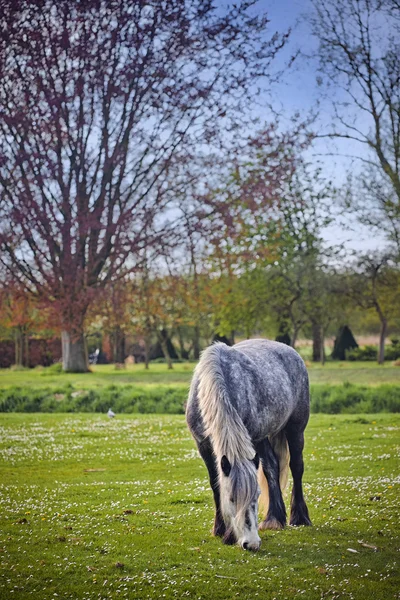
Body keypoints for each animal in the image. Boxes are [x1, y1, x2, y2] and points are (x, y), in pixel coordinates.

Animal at [186, 340, 310, 552]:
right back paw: (274, 518)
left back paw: (299, 517)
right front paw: (220, 529)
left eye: (256, 496)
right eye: (231, 499)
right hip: (263, 439)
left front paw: (228, 533)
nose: (251, 543)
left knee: (296, 467)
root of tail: (291, 351)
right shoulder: (203, 445)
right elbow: (216, 484)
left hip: (295, 429)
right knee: (272, 467)